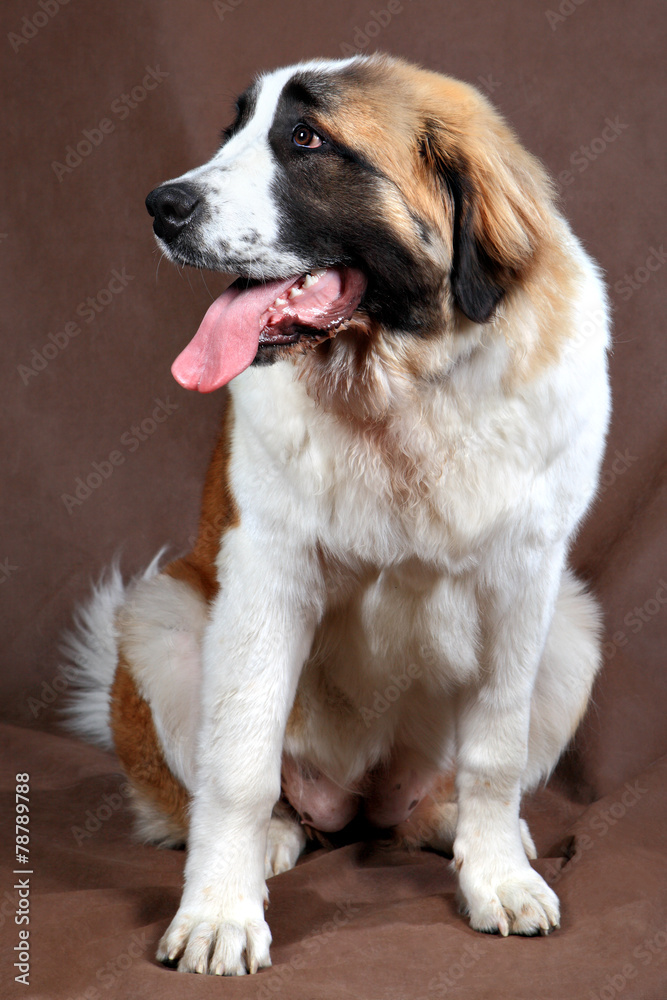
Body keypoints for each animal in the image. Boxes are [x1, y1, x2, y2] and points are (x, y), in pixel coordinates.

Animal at [66, 54, 612, 976]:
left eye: (306, 140)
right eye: (235, 132)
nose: (162, 205)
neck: (400, 384)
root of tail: (358, 797)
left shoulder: (525, 580)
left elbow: (494, 754)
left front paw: (496, 877)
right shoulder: (263, 578)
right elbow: (239, 763)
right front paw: (220, 913)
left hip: (571, 630)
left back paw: (453, 825)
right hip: (160, 617)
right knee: (214, 783)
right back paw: (271, 841)